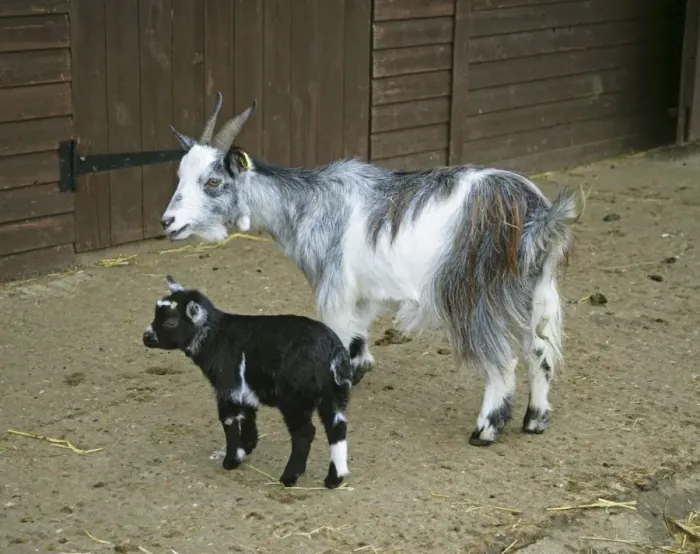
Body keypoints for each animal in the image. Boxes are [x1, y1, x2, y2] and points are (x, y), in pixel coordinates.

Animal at [142, 275, 354, 489]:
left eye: (171, 322)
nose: (146, 337)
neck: (215, 337)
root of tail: (331, 352)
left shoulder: (227, 387)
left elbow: (229, 421)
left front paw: (231, 460)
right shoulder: (244, 390)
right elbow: (248, 416)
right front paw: (247, 447)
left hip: (294, 398)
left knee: (304, 433)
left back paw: (289, 476)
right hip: (334, 393)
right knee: (337, 427)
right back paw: (334, 478)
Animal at [160, 93, 584, 446]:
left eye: (213, 181)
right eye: (179, 176)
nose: (168, 222)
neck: (308, 204)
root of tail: (536, 214)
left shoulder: (334, 288)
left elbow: (337, 334)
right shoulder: (363, 293)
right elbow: (357, 337)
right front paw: (358, 369)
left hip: (472, 296)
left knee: (502, 359)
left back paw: (486, 429)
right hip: (538, 291)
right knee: (539, 351)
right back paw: (535, 419)